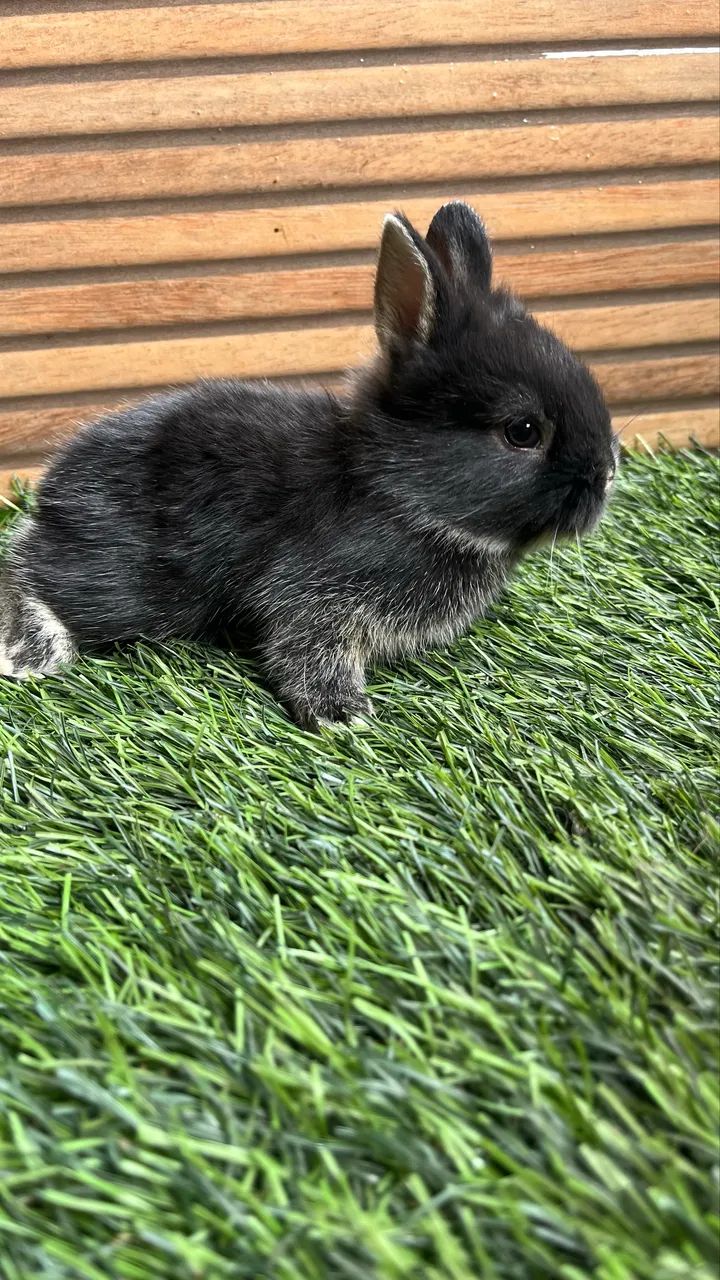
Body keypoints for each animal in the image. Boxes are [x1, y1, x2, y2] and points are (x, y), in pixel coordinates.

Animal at [0, 201, 619, 728]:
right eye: (523, 432)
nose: (608, 472)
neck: (397, 491)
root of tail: (53, 495)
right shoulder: (317, 595)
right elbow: (304, 648)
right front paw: (345, 717)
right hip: (125, 582)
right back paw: (29, 650)